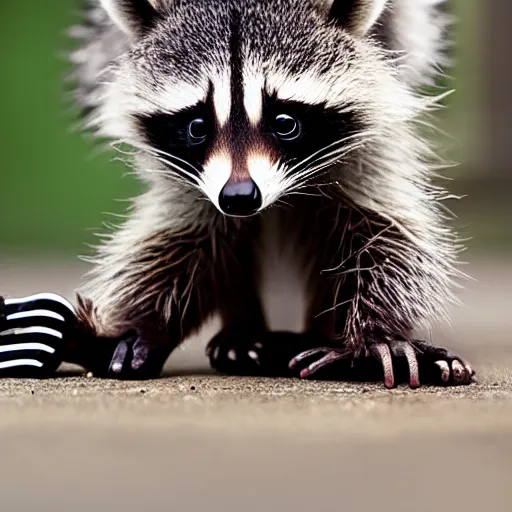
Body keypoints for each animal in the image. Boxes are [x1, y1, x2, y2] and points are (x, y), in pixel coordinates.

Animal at [66, 0, 474, 386]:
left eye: (285, 123)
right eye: (197, 126)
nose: (239, 197)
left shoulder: (369, 131)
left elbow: (382, 232)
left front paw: (376, 335)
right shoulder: (185, 173)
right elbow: (186, 237)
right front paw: (145, 327)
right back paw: (245, 331)